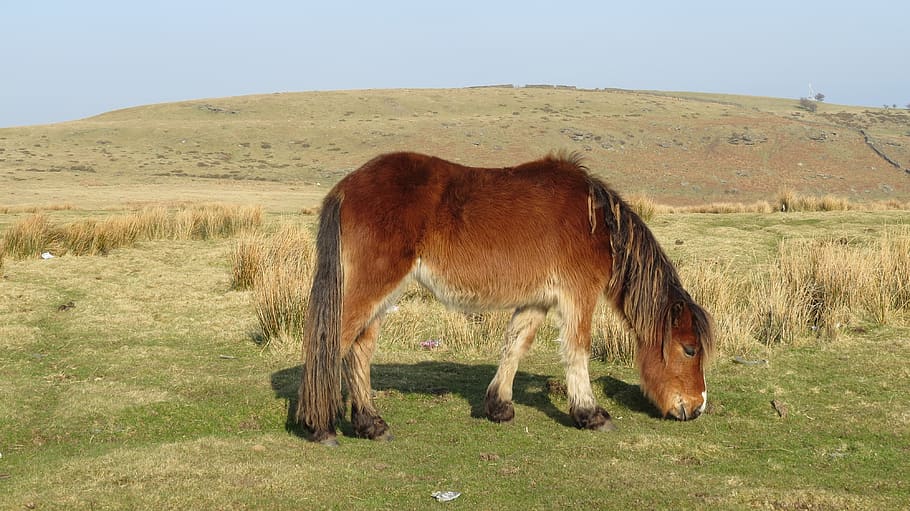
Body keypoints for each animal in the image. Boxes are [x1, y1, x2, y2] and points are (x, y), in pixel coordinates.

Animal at [296, 151, 714, 445]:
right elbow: (577, 350)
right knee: (333, 342)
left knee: (359, 349)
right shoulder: (578, 295)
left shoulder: (537, 301)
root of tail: (346, 187)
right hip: (372, 287)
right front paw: (590, 414)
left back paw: (370, 424)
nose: (696, 408)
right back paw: (319, 427)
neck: (597, 222)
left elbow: (516, 344)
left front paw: (499, 406)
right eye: (689, 349)